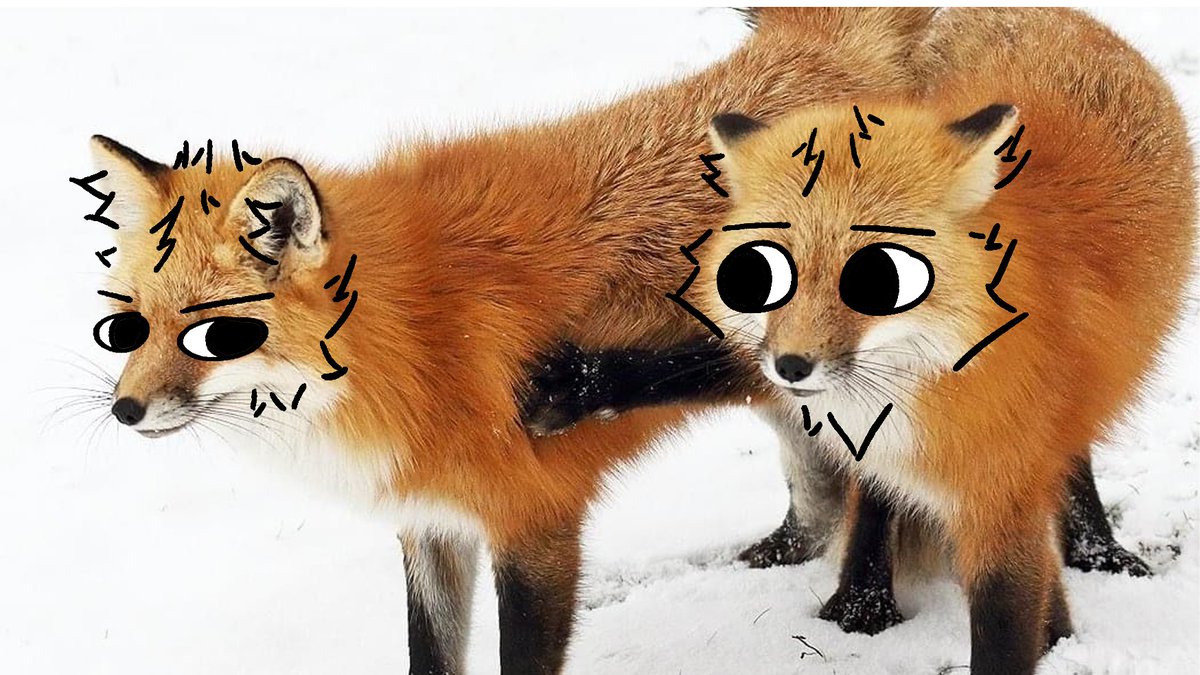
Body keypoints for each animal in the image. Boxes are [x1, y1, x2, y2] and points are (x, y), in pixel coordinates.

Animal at [79, 8, 943, 675]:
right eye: (131, 324)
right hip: (779, 388)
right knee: (819, 493)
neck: (413, 335)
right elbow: (430, 655)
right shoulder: (430, 522)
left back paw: (862, 606)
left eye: (214, 333)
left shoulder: (537, 522)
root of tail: (825, 41)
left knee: (871, 488)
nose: (122, 410)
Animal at [520, 7, 1196, 674]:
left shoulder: (1001, 500)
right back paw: (862, 602)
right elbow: (699, 364)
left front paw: (1055, 630)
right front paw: (579, 385)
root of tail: (1053, 15)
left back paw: (1096, 551)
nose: (792, 366)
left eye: (882, 278)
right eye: (759, 273)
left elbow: (1005, 628)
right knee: (871, 497)